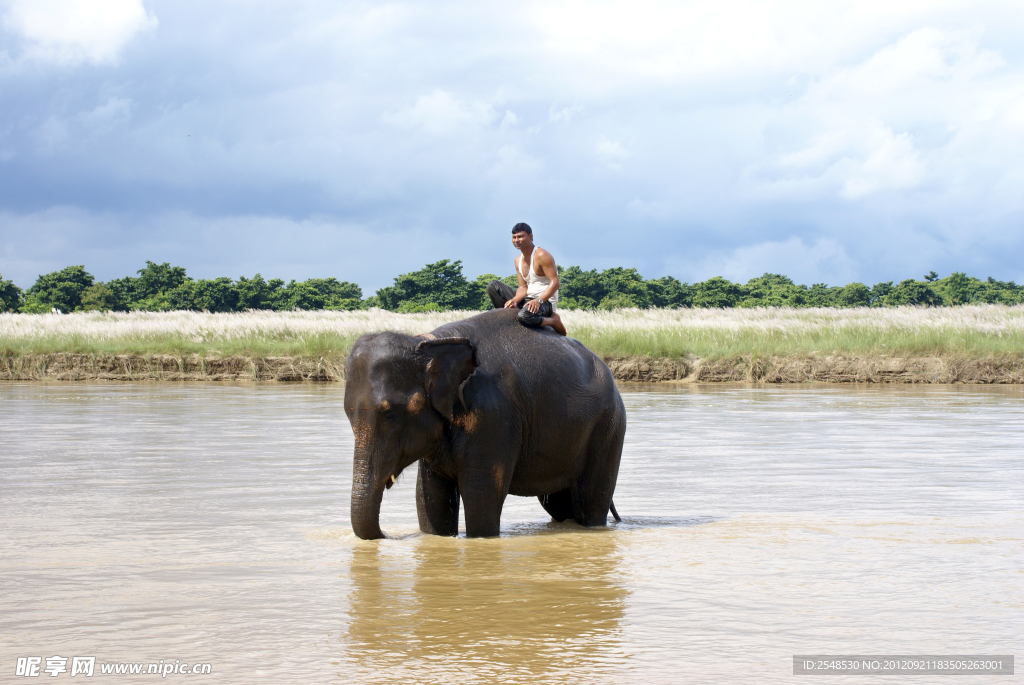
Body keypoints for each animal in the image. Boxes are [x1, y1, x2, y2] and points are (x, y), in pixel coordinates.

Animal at [346, 307, 622, 536]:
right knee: (560, 506)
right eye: (349, 415)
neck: (430, 342)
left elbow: (480, 495)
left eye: (390, 415)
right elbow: (430, 498)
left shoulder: (493, 414)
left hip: (608, 428)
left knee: (590, 502)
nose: (388, 535)